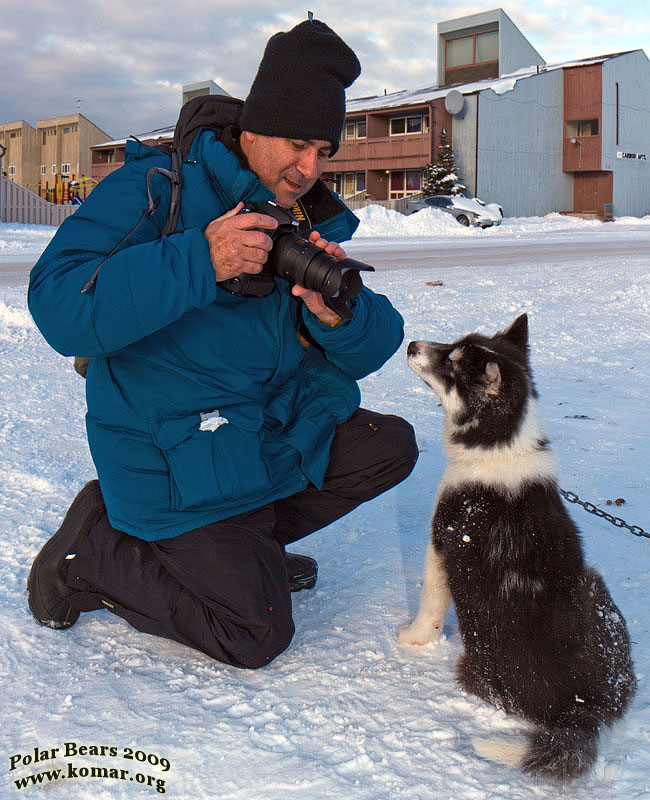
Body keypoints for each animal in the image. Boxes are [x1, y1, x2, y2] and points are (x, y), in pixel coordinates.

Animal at [394, 314, 632, 780]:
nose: (412, 344)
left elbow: (430, 608)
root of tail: (586, 708)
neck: (502, 445)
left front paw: (411, 639)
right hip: (598, 592)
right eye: (454, 343)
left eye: (453, 364)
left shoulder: (439, 546)